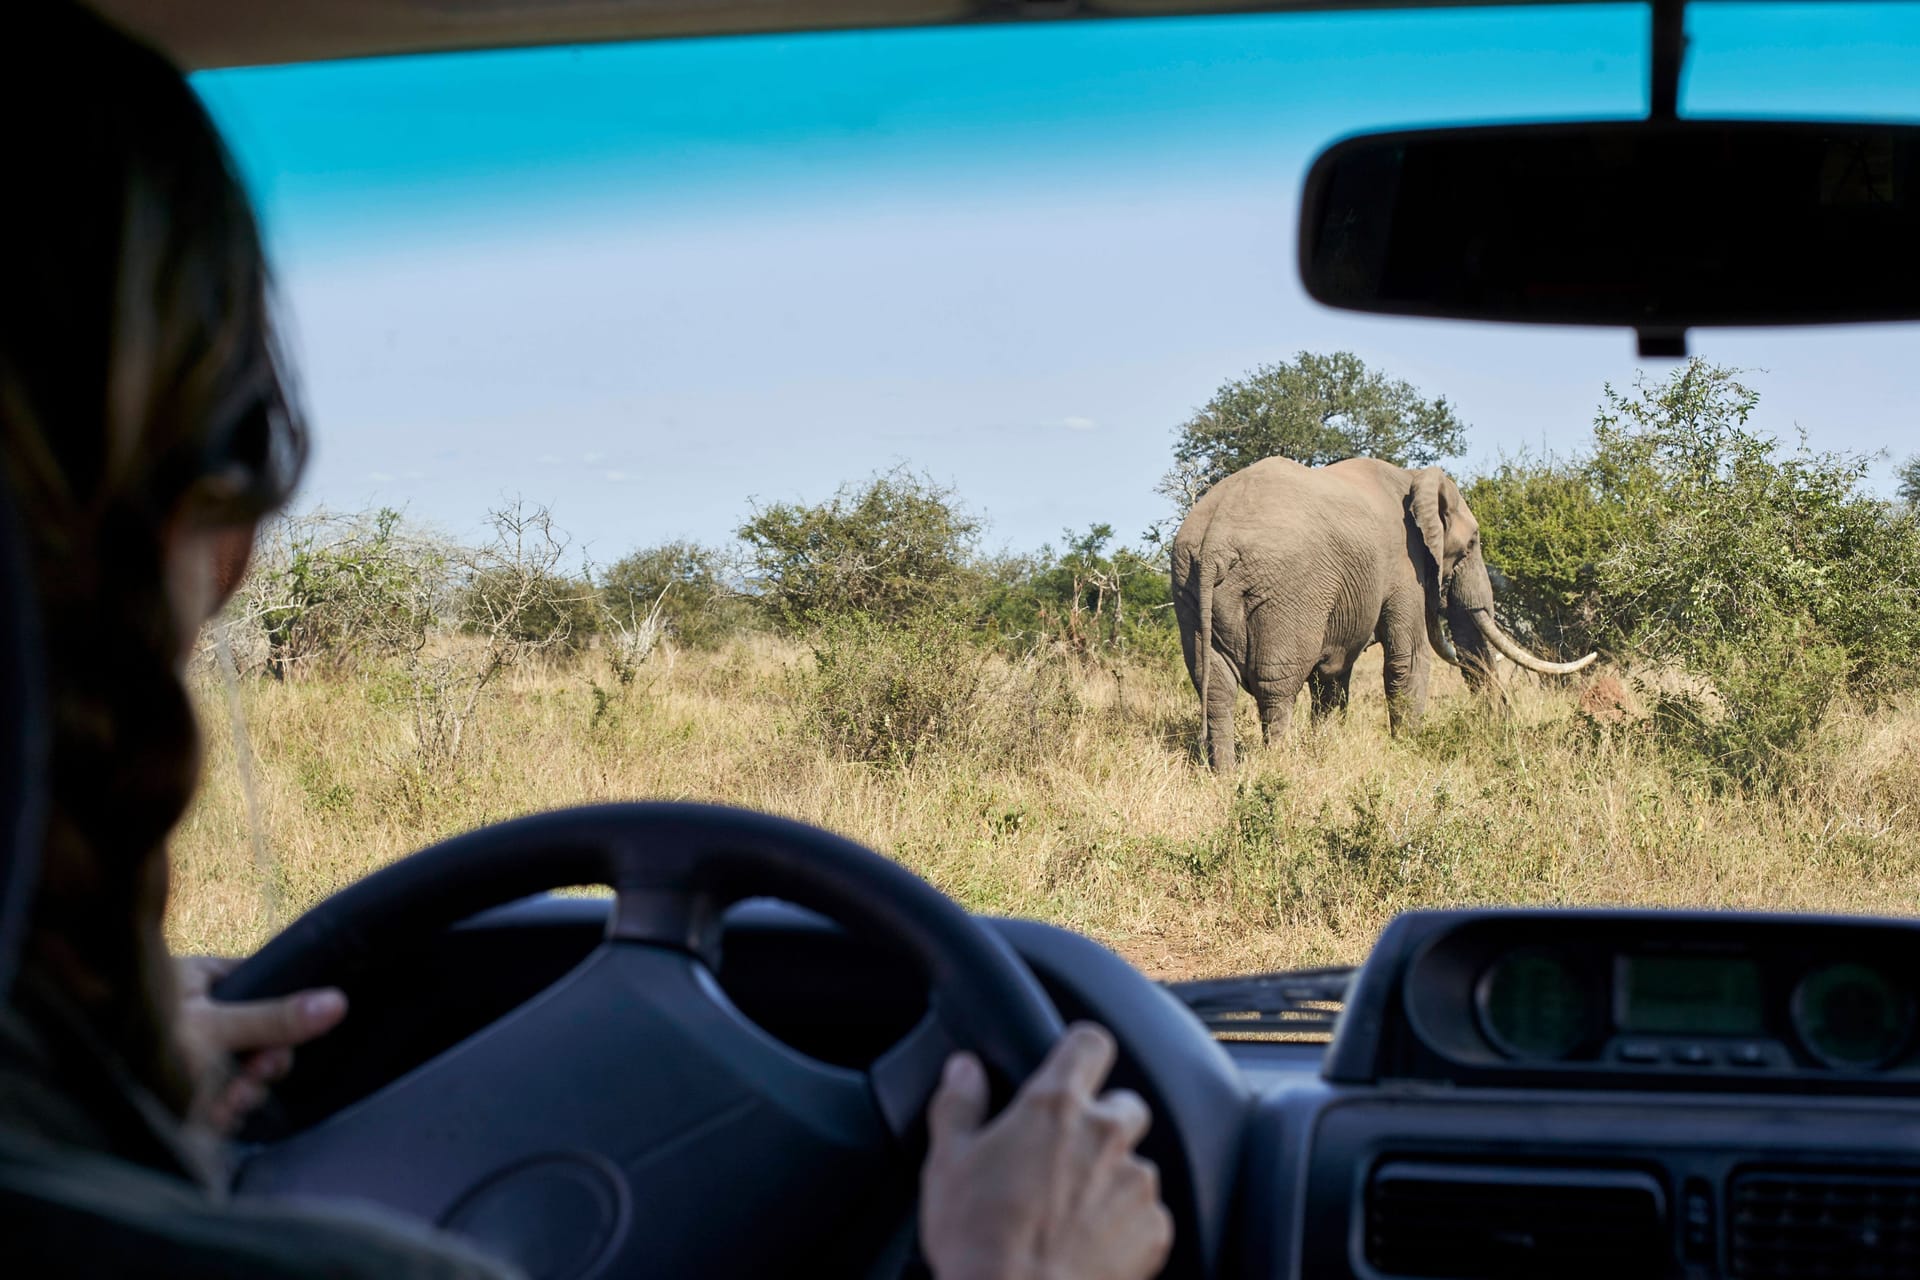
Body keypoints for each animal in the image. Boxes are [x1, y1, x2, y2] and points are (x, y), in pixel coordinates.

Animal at [1167, 458, 1589, 771]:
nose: (1503, 729)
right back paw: (1279, 768)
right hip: (1286, 592)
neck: (1412, 479)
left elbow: (1332, 674)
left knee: (1215, 686)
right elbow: (1409, 659)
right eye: (1471, 545)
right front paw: (1410, 751)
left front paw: (1330, 745)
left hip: (1188, 587)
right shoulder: (1404, 564)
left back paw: (1225, 774)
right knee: (1277, 686)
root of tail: (1215, 541)